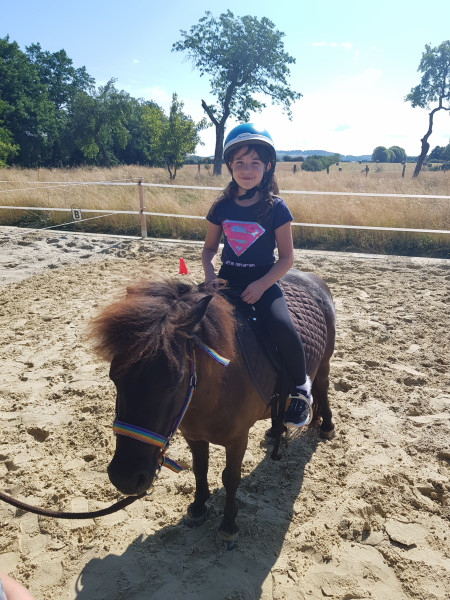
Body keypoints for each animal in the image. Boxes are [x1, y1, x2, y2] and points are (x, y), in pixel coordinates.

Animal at [89, 269, 336, 548]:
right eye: (114, 377)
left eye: (175, 380)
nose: (125, 478)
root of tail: (310, 277)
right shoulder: (193, 435)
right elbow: (200, 468)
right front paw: (198, 507)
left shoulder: (238, 440)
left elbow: (231, 478)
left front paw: (228, 524)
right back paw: (276, 431)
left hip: (323, 363)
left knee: (322, 386)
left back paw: (326, 426)